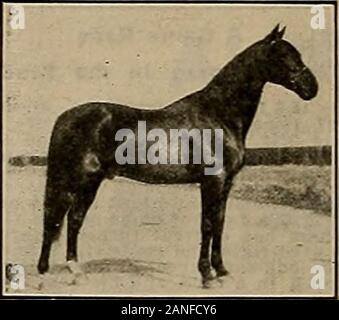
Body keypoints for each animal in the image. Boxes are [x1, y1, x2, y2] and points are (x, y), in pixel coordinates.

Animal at [37, 25, 318, 288]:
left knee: (72, 220)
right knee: (57, 219)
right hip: (80, 179)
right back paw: (45, 274)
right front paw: (207, 276)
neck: (218, 115)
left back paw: (74, 271)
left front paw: (222, 271)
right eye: (283, 56)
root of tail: (65, 117)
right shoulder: (212, 181)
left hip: (88, 182)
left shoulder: (227, 183)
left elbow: (219, 223)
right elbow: (207, 225)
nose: (312, 87)